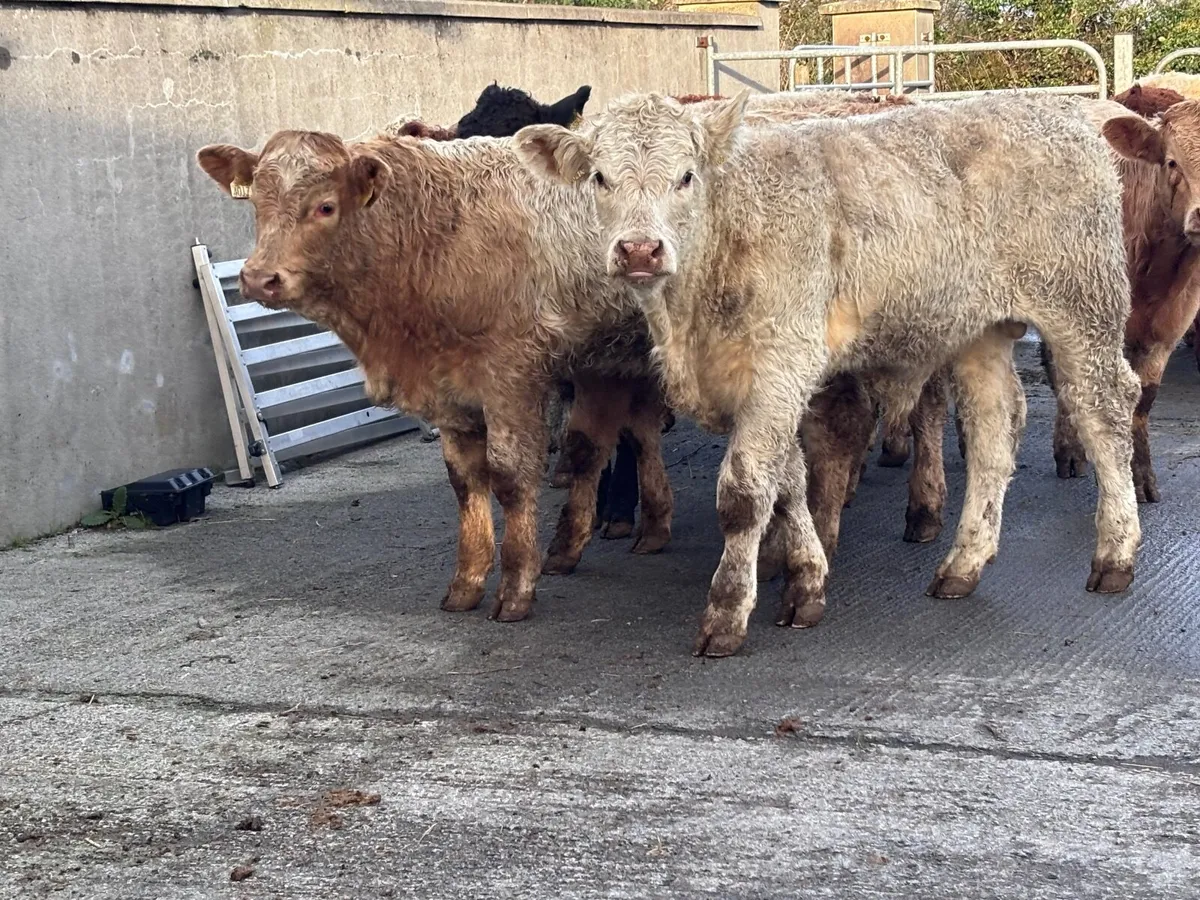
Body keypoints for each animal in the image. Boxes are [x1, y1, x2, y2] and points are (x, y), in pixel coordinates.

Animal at [515, 92, 1142, 657]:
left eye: (686, 176)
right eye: (599, 178)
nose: (640, 250)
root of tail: (1061, 112)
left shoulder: (781, 363)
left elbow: (745, 492)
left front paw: (727, 613)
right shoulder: (763, 383)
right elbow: (789, 482)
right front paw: (807, 582)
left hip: (1082, 305)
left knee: (1106, 411)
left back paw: (1115, 554)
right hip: (978, 332)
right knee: (996, 429)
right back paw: (962, 564)